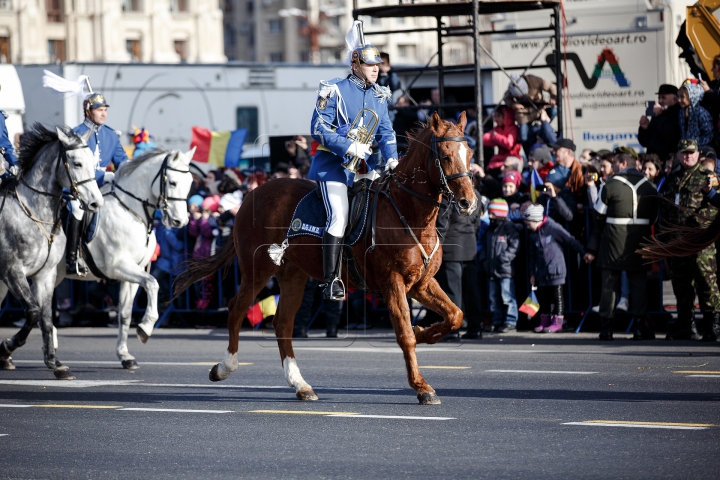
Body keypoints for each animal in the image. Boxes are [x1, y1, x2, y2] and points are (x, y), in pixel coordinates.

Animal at [54, 148, 194, 370]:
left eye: (189, 182)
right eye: (172, 183)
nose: (181, 221)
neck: (130, 211)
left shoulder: (132, 273)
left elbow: (125, 314)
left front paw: (124, 355)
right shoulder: (118, 266)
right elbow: (153, 283)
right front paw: (146, 327)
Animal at [174, 112, 478, 404]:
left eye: (470, 154)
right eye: (446, 155)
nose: (469, 202)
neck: (407, 212)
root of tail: (252, 194)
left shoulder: (421, 283)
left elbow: (455, 315)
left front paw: (425, 331)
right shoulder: (393, 282)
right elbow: (405, 334)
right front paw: (421, 386)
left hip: (292, 276)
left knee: (282, 323)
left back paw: (301, 385)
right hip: (256, 270)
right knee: (236, 309)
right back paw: (224, 368)